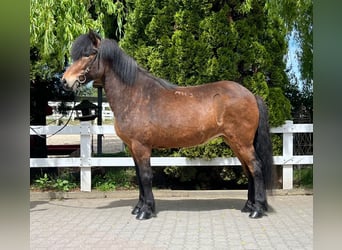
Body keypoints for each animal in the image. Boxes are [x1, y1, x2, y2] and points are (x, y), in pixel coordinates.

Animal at [61, 30, 274, 219]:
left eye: (89, 54)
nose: (65, 81)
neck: (135, 95)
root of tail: (251, 95)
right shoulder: (132, 148)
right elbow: (139, 176)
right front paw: (139, 208)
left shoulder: (141, 147)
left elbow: (146, 176)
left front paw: (146, 211)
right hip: (235, 142)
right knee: (248, 170)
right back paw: (248, 206)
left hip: (242, 142)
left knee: (256, 167)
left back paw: (257, 210)